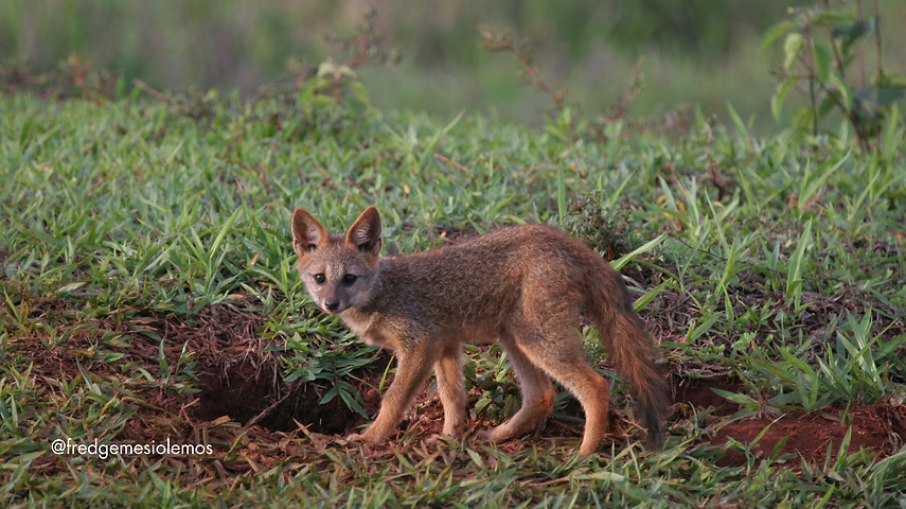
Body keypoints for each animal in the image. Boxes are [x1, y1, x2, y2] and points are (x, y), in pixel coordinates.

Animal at [294, 204, 668, 454]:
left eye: (349, 279)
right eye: (320, 279)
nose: (331, 304)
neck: (385, 291)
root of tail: (563, 239)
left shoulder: (419, 344)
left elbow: (394, 399)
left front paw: (371, 438)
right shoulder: (445, 345)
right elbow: (453, 397)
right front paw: (449, 437)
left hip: (537, 341)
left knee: (596, 386)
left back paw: (585, 453)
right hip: (516, 340)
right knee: (542, 395)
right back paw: (499, 435)